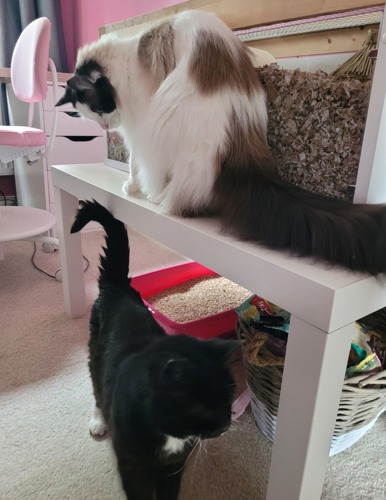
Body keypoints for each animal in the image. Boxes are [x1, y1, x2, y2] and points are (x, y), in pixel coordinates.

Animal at [69, 201, 238, 500]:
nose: (225, 425)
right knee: (97, 390)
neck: (168, 436)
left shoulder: (175, 466)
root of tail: (119, 285)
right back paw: (98, 422)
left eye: (229, 397)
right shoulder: (132, 466)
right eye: (198, 406)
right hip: (94, 353)